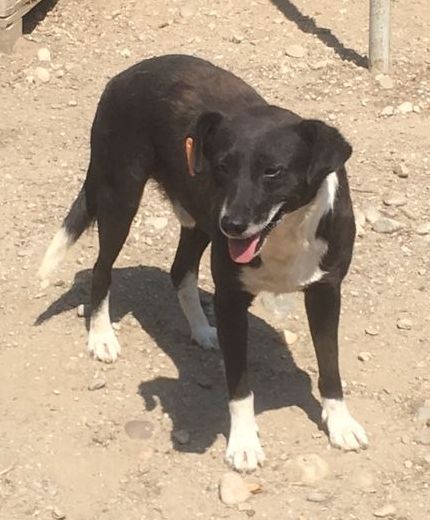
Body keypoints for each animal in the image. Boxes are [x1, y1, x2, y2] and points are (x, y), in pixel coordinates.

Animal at [39, 54, 368, 471]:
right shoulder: (230, 298)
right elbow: (240, 386)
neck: (283, 234)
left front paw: (340, 422)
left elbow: (330, 364)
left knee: (180, 271)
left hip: (197, 219)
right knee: (101, 270)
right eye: (223, 166)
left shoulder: (326, 292)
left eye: (272, 171)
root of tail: (128, 73)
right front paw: (243, 443)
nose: (232, 225)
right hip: (121, 196)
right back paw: (101, 337)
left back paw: (201, 329)